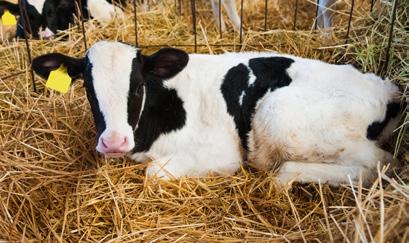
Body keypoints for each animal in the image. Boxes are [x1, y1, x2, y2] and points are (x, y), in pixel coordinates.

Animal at [32, 41, 402, 186]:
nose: (113, 142)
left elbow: (155, 172)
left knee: (383, 163)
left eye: (137, 86)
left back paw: (286, 175)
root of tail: (386, 88)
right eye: (88, 89)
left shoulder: (221, 153)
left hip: (281, 118)